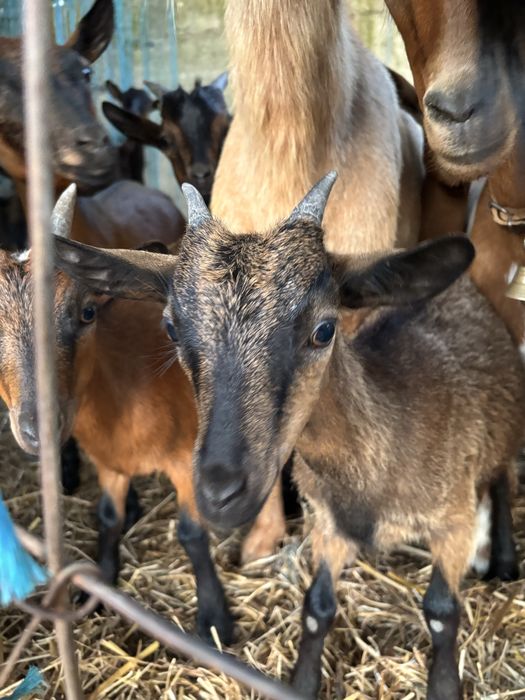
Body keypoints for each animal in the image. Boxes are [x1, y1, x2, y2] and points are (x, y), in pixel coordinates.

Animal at [54, 174, 525, 699]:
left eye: (324, 329)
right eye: (172, 328)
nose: (220, 492)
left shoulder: (451, 523)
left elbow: (442, 611)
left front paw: (444, 687)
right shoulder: (326, 525)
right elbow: (317, 606)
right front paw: (302, 681)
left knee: (501, 480)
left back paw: (504, 559)